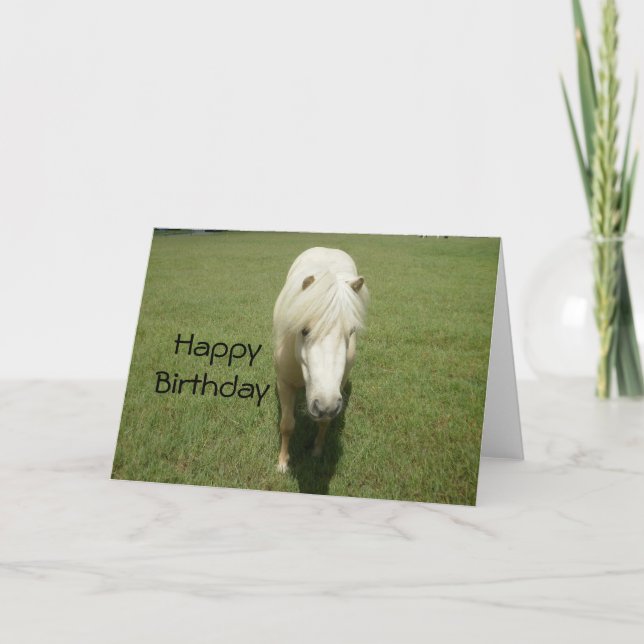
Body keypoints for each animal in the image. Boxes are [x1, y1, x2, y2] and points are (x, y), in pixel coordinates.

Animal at [272, 247, 369, 473]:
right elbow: (286, 424)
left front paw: (316, 451)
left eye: (351, 332)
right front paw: (282, 463)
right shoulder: (284, 383)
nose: (325, 405)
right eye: (304, 330)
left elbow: (324, 423)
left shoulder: (337, 387)